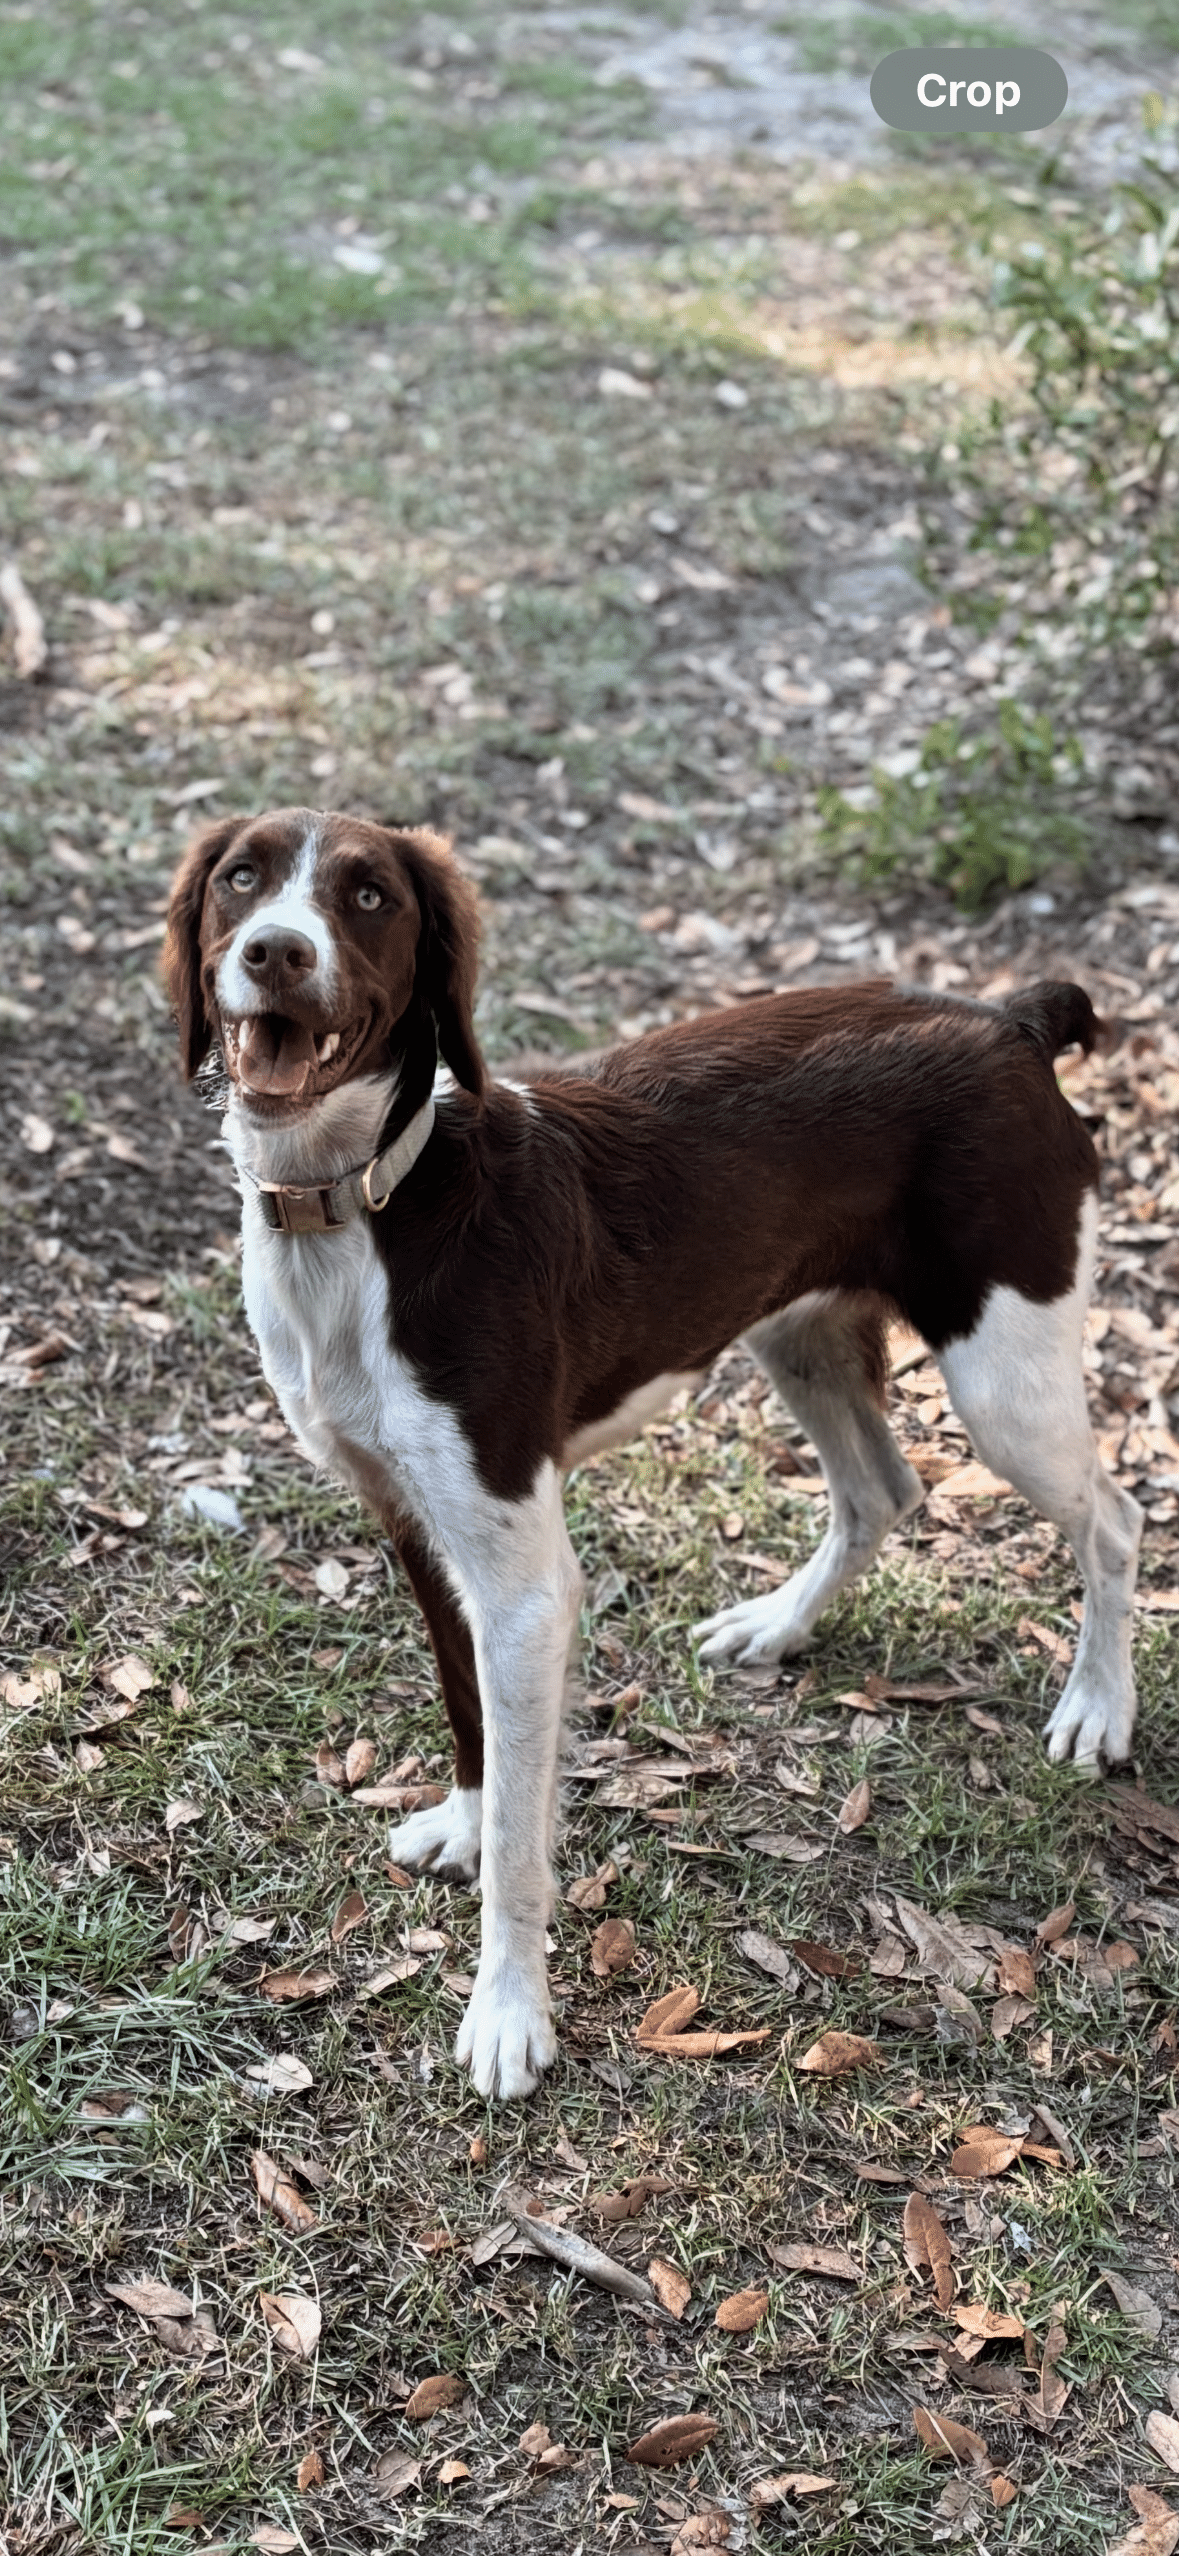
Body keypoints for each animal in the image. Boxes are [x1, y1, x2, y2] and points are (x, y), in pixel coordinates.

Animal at [164, 805, 1142, 2098]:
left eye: (369, 897)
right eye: (241, 879)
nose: (275, 951)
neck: (374, 1200)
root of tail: (1010, 1020)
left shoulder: (526, 1584)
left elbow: (521, 1845)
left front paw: (508, 2012)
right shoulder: (418, 1526)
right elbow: (471, 1720)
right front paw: (465, 1821)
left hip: (1005, 1377)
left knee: (1113, 1520)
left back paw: (1097, 1708)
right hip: (799, 1332)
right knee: (881, 1490)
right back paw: (776, 1626)